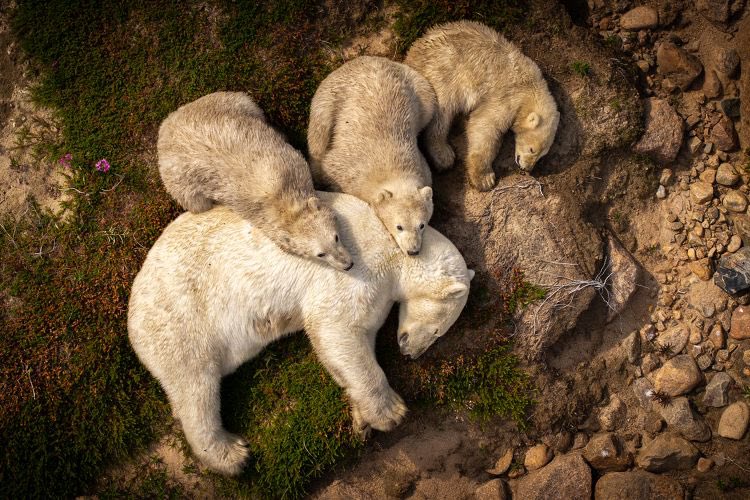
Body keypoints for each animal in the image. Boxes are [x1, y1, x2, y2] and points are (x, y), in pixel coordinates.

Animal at [128, 191, 473, 476]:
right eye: (439, 330)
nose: (411, 353)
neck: (394, 244)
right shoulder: (359, 266)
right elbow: (335, 326)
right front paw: (390, 413)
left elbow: (349, 347)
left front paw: (360, 420)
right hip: (182, 318)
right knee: (195, 386)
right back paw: (231, 454)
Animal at [157, 91, 353, 271]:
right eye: (320, 254)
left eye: (336, 237)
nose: (348, 265)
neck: (282, 199)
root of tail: (166, 125)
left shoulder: (292, 162)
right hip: (178, 179)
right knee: (197, 203)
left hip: (222, 103)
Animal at [307, 56, 437, 256]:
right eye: (399, 226)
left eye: (422, 225)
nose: (413, 251)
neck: (392, 164)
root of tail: (369, 59)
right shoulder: (346, 169)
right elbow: (327, 168)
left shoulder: (423, 166)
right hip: (331, 95)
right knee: (318, 133)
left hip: (419, 89)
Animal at [404, 20, 560, 191]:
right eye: (532, 149)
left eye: (542, 155)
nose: (527, 168)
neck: (530, 87)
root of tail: (411, 54)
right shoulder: (507, 96)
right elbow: (484, 126)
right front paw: (485, 179)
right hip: (441, 73)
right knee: (441, 113)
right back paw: (444, 155)